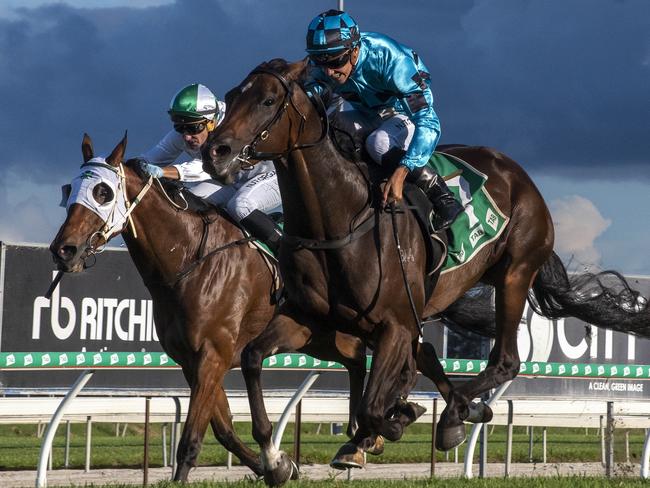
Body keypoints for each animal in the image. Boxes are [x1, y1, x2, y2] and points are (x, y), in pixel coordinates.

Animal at [48, 133, 370, 480]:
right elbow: (224, 429)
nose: (63, 250)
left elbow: (191, 437)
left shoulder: (213, 354)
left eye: (102, 192)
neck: (189, 259)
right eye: (69, 189)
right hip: (315, 338)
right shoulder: (190, 360)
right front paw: (279, 466)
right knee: (355, 357)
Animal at [202, 58, 648, 484]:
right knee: (430, 354)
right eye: (232, 95)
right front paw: (275, 458)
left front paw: (391, 422)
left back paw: (453, 415)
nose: (215, 151)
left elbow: (371, 408)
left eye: (267, 101)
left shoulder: (393, 325)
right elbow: (253, 357)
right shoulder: (309, 319)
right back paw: (458, 409)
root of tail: (516, 172)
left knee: (504, 360)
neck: (340, 221)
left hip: (514, 272)